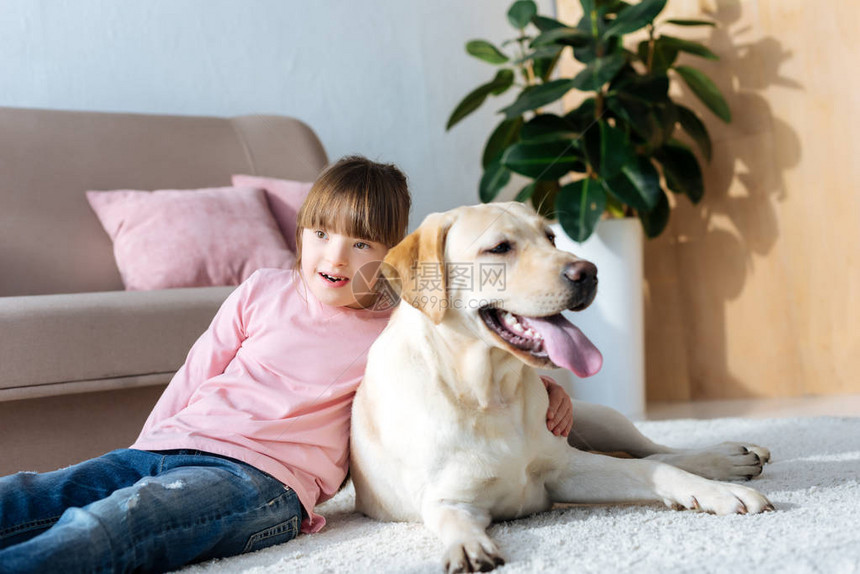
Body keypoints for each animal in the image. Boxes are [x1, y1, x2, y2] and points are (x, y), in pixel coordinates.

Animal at [350, 201, 772, 572]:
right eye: (499, 247)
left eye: (551, 237)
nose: (588, 272)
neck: (489, 394)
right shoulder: (446, 499)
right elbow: (451, 521)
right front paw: (468, 547)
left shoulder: (566, 470)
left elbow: (653, 470)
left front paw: (721, 493)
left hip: (600, 417)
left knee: (655, 451)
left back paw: (729, 458)